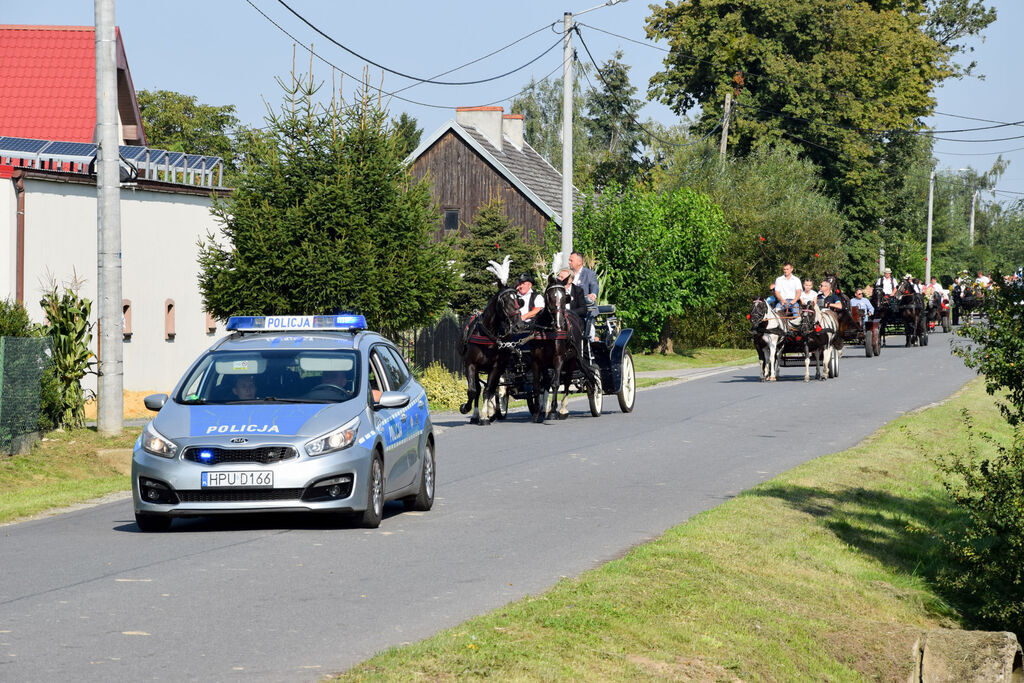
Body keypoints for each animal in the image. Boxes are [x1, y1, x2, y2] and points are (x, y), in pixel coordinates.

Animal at [456, 282, 520, 421]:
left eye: (518, 300)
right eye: (504, 301)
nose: (519, 324)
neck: (488, 334)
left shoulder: (496, 367)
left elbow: (488, 390)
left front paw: (485, 415)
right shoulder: (470, 365)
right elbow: (473, 391)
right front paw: (466, 408)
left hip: (500, 368)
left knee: (492, 389)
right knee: (480, 389)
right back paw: (477, 415)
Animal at [532, 278, 598, 421]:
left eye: (565, 298)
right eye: (549, 296)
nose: (559, 323)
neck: (548, 331)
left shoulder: (559, 358)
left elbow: (556, 383)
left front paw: (553, 411)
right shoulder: (537, 361)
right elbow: (538, 385)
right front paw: (537, 412)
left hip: (571, 361)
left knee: (567, 382)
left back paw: (562, 410)